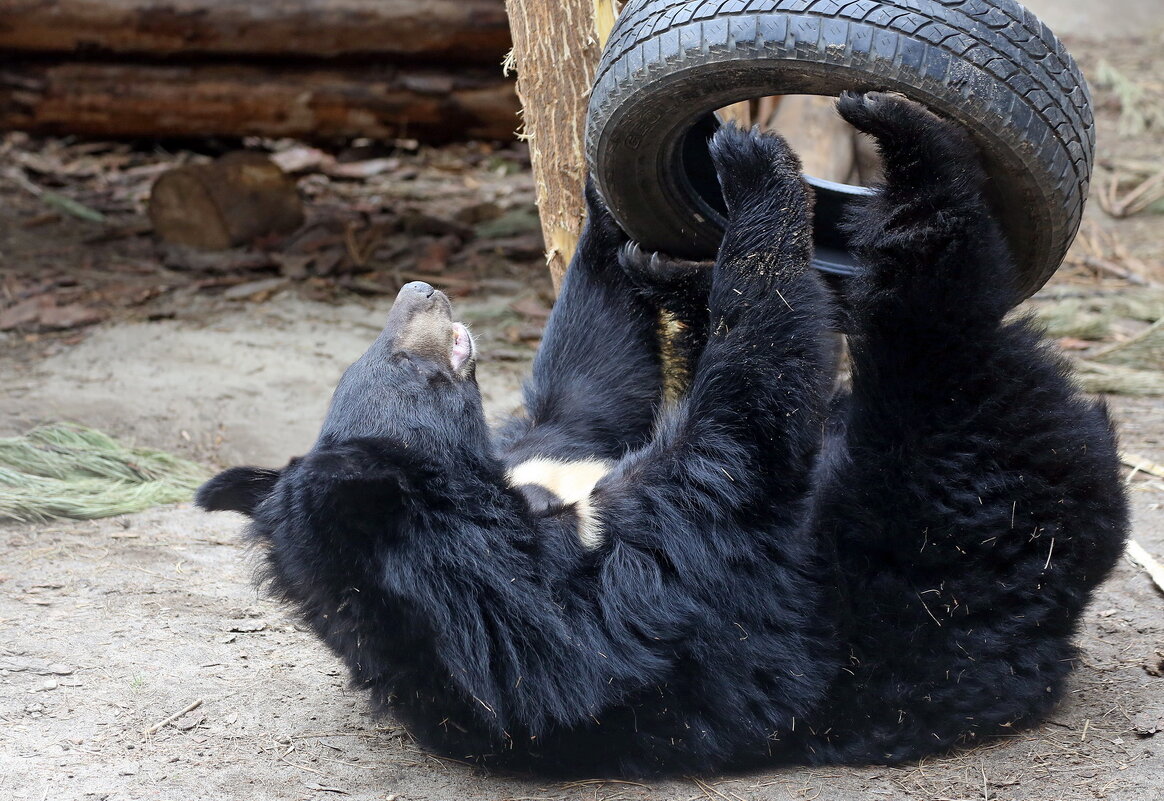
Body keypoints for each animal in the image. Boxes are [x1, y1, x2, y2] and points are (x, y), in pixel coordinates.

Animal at [197, 92, 1126, 777]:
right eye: (406, 364)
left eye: (380, 350)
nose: (418, 289)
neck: (501, 511)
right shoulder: (622, 584)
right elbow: (747, 426)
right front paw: (750, 165)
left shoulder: (551, 455)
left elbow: (590, 385)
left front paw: (613, 210)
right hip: (958, 474)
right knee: (937, 307)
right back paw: (908, 140)